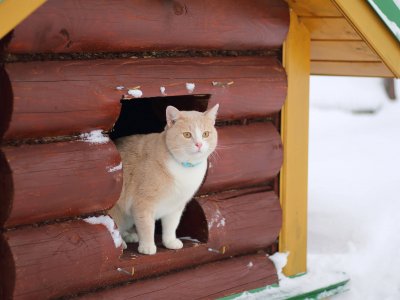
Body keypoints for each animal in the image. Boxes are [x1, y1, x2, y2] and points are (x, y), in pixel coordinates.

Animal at [110, 104, 219, 254]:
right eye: (187, 135)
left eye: (205, 134)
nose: (199, 144)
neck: (184, 168)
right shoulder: (143, 204)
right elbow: (147, 227)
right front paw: (147, 246)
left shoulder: (175, 206)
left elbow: (171, 226)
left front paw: (170, 242)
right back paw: (122, 243)